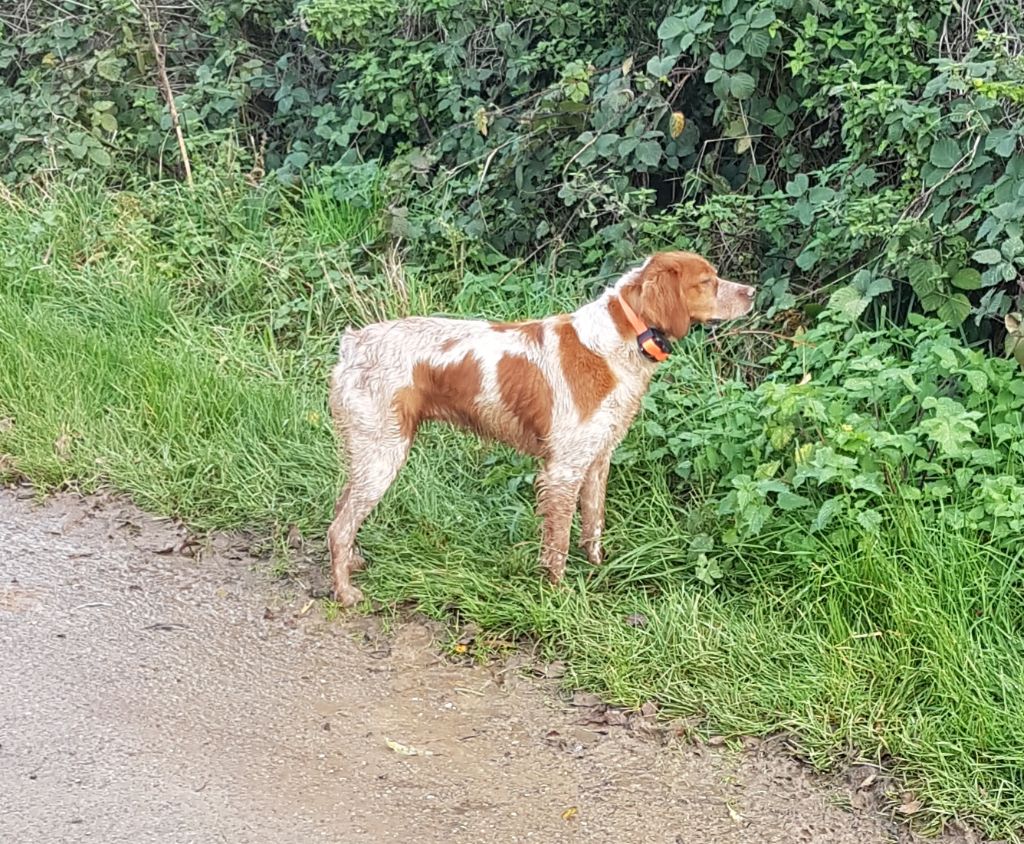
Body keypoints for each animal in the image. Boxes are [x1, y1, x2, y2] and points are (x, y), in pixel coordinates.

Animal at [323, 250, 757, 606]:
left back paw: (354, 562)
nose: (752, 292)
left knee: (341, 508)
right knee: (338, 527)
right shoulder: (563, 469)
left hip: (370, 453)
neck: (621, 339)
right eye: (707, 281)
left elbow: (593, 524)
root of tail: (353, 343)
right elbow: (559, 541)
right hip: (383, 454)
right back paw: (346, 592)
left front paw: (598, 569)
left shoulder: (598, 459)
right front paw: (559, 593)